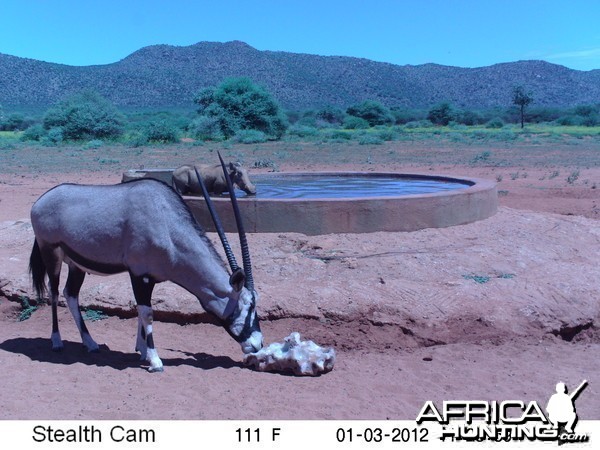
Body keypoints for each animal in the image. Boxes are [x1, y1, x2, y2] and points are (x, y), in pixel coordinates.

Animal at [28, 155, 262, 372]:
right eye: (249, 305)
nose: (258, 345)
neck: (167, 224)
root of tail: (39, 202)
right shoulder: (140, 275)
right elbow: (147, 314)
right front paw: (155, 360)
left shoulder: (149, 278)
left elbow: (142, 312)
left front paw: (141, 350)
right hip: (51, 254)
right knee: (54, 292)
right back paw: (57, 341)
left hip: (77, 264)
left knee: (71, 294)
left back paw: (90, 343)